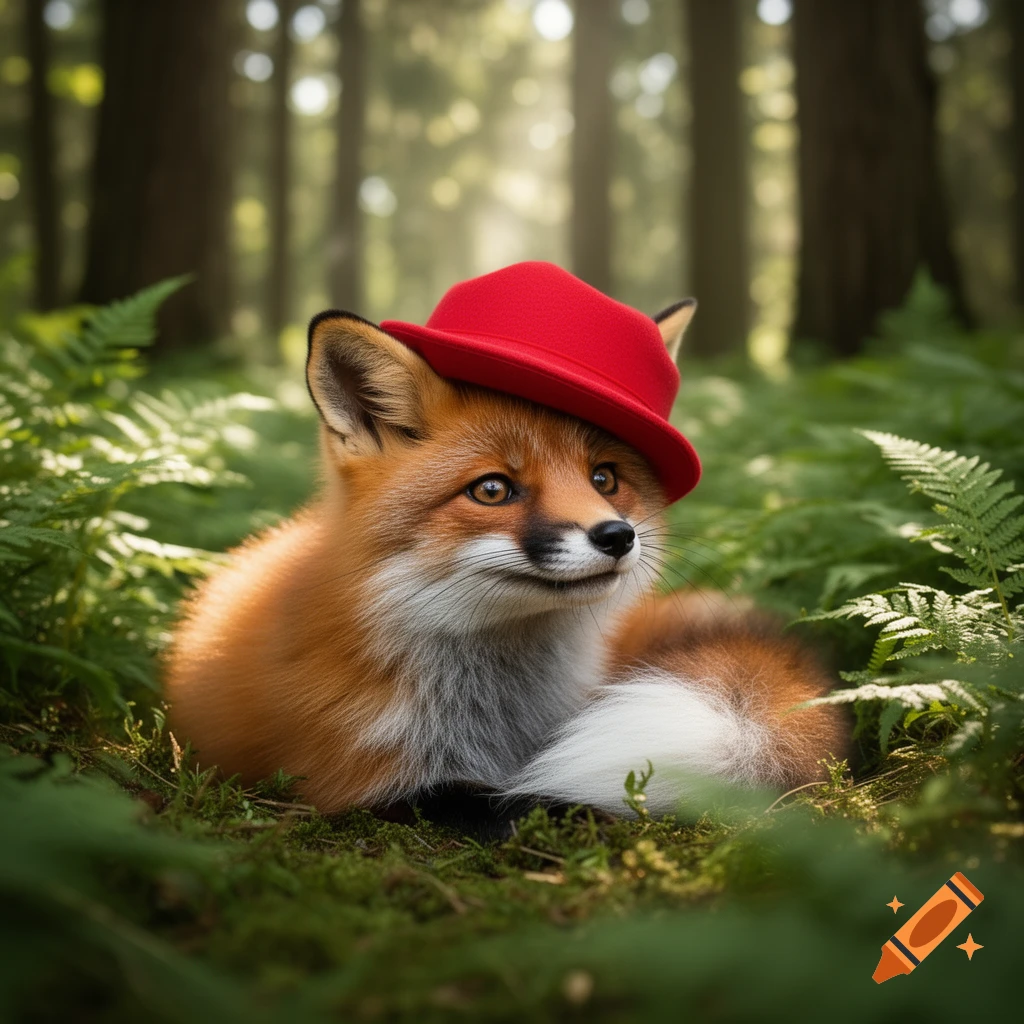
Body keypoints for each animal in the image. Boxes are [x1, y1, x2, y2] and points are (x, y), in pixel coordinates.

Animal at [165, 289, 845, 822]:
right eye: (492, 490)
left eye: (604, 478)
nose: (616, 536)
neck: (502, 712)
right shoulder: (369, 782)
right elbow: (547, 805)